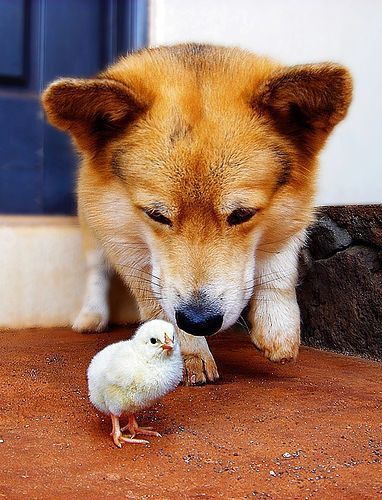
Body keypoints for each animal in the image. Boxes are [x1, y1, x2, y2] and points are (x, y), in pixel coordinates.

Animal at [42, 45, 352, 384]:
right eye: (156, 215)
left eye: (242, 214)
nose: (198, 321)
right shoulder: (124, 241)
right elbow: (160, 304)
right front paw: (190, 350)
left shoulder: (292, 213)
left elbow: (279, 268)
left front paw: (277, 327)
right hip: (93, 227)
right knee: (96, 271)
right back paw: (92, 316)